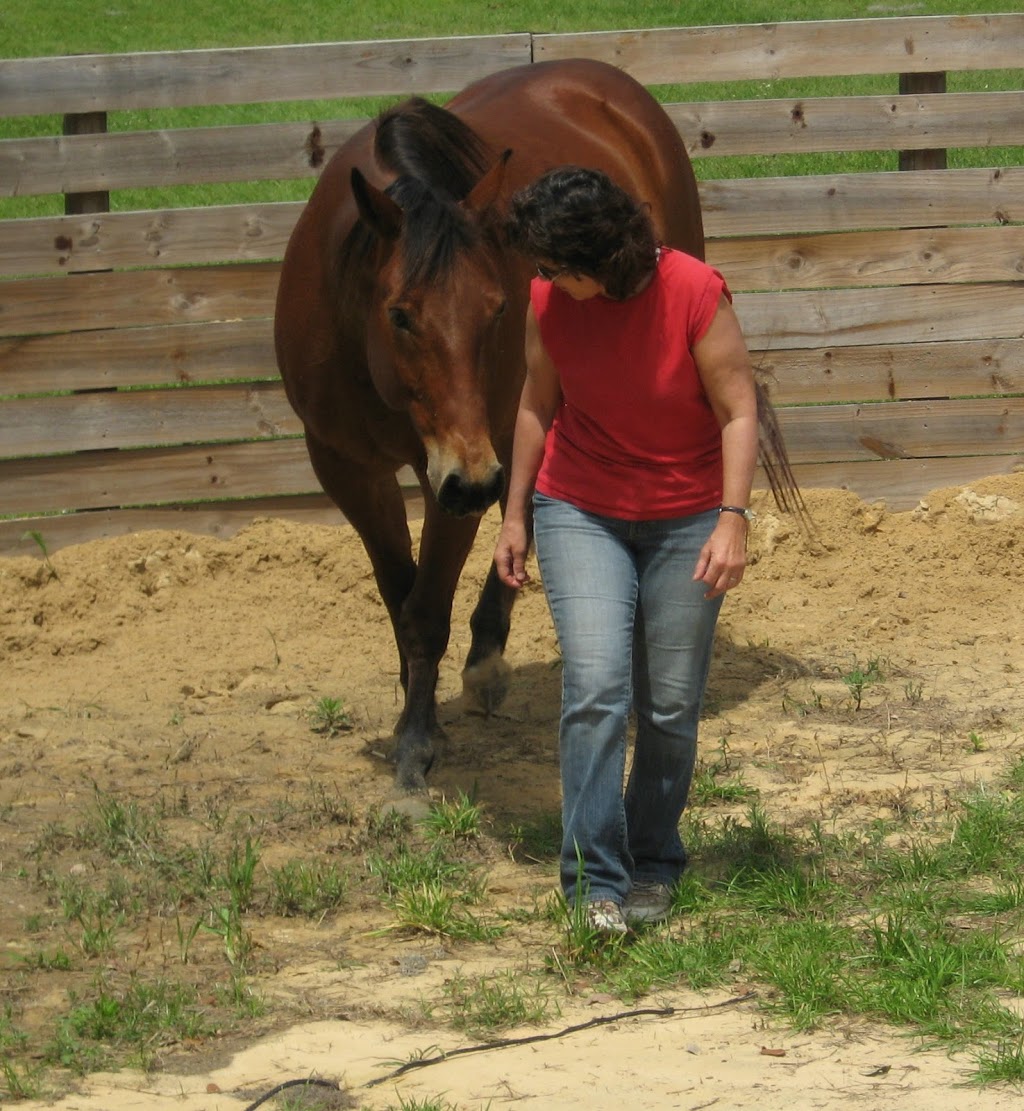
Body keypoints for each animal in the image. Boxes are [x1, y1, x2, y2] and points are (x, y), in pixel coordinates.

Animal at [273, 58, 799, 791]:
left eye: (496, 308)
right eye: (400, 314)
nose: (469, 480)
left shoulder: (458, 466)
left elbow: (426, 609)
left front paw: (416, 745)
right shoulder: (348, 467)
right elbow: (398, 595)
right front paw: (416, 715)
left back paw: (491, 662)